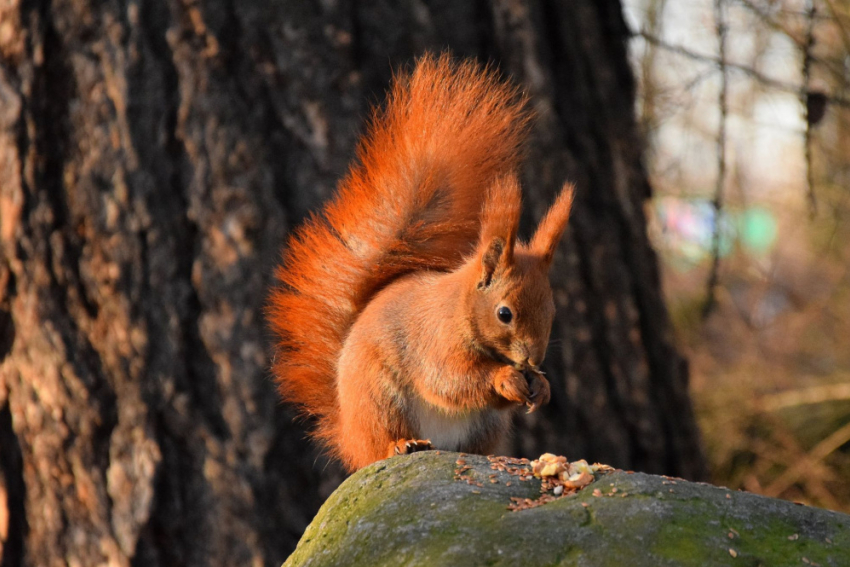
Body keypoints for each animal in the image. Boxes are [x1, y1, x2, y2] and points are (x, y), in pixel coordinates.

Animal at [268, 53, 572, 472]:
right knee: (383, 441)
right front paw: (505, 379)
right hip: (381, 399)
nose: (532, 360)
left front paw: (541, 386)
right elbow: (451, 382)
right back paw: (402, 445)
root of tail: (349, 434)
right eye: (504, 314)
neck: (460, 309)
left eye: (553, 311)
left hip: (484, 426)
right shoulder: (435, 341)